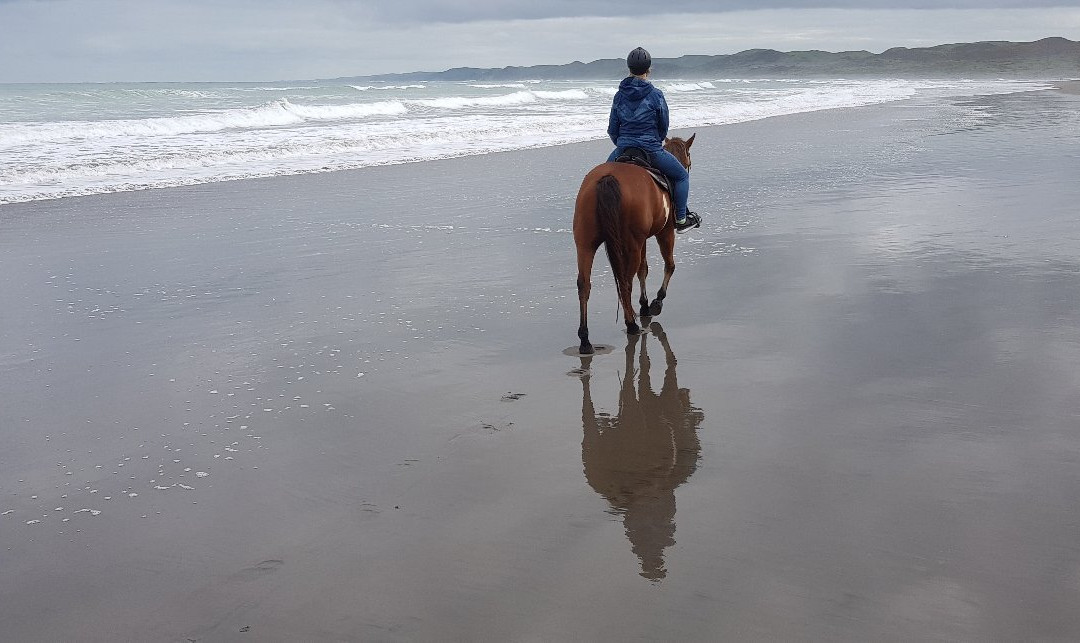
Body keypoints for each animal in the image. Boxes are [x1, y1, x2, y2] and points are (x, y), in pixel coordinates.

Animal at [573, 134, 695, 355]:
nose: (687, 166)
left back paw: (585, 340)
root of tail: (608, 178)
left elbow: (643, 270)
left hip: (585, 243)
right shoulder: (664, 232)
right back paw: (631, 324)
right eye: (688, 156)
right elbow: (668, 265)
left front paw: (645, 305)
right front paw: (655, 303)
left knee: (584, 284)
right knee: (625, 280)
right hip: (632, 243)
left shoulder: (643, 239)